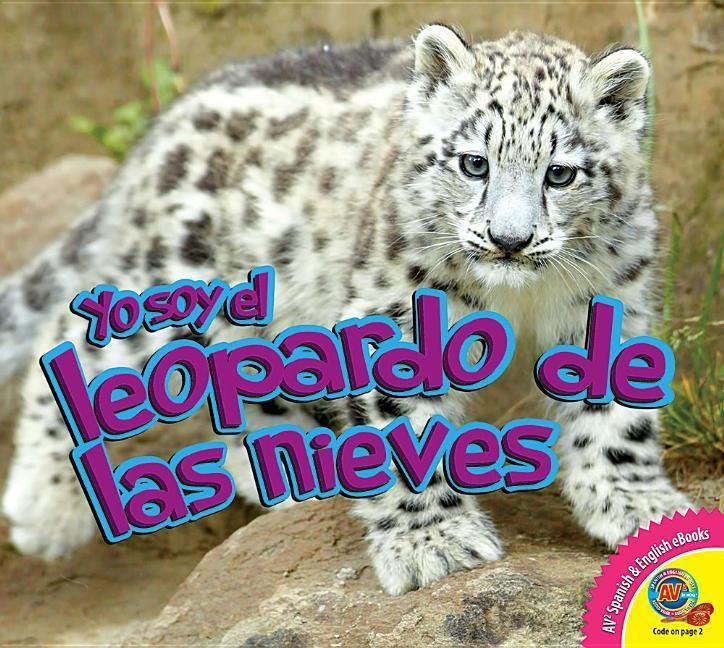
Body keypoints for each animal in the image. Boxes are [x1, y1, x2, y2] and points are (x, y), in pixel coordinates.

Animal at [0, 24, 691, 595]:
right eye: (474, 163)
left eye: (560, 174)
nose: (509, 239)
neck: (521, 295)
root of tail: (160, 131)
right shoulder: (399, 312)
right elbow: (407, 429)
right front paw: (432, 543)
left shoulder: (613, 299)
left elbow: (616, 417)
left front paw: (639, 507)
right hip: (168, 279)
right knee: (75, 339)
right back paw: (44, 506)